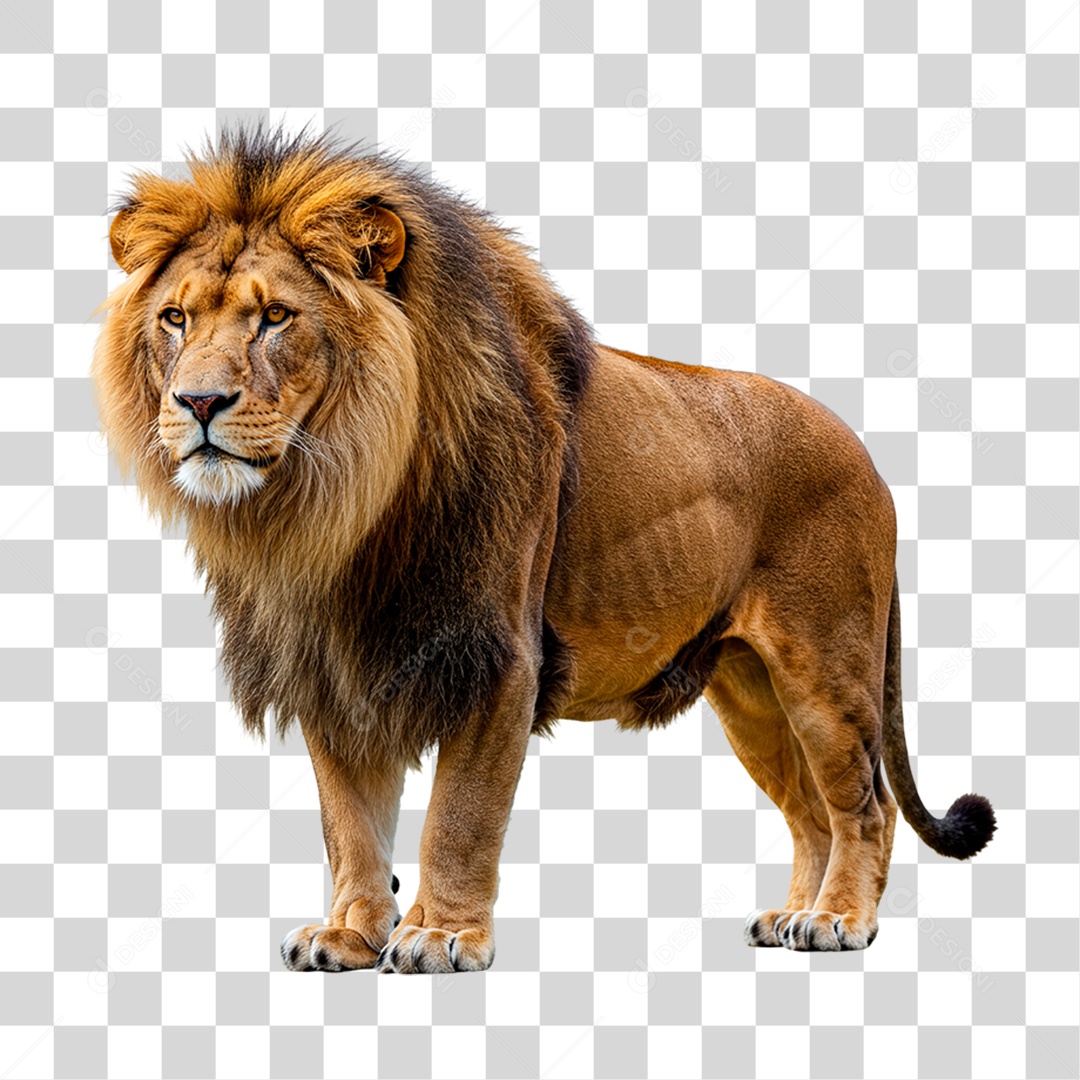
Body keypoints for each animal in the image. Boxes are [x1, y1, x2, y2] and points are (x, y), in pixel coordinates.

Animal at [92, 126, 995, 973]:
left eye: (276, 316)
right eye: (176, 318)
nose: (197, 402)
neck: (337, 504)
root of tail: (866, 453)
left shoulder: (500, 658)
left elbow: (459, 815)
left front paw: (439, 936)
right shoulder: (334, 663)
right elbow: (349, 821)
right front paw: (349, 933)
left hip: (825, 667)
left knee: (864, 806)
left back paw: (841, 920)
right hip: (748, 691)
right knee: (810, 810)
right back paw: (794, 916)